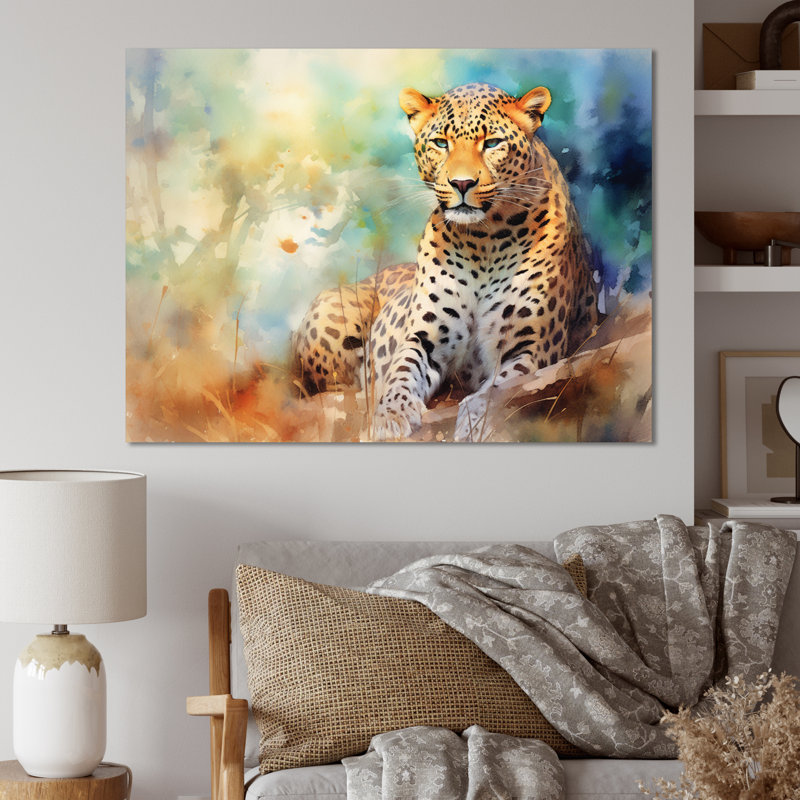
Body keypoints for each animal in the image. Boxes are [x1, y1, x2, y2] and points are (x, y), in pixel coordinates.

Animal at [291, 82, 598, 441]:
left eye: (492, 143)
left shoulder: (533, 347)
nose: (462, 183)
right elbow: (401, 372)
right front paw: (391, 415)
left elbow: (500, 388)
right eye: (441, 143)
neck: (485, 239)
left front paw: (475, 419)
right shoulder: (423, 338)